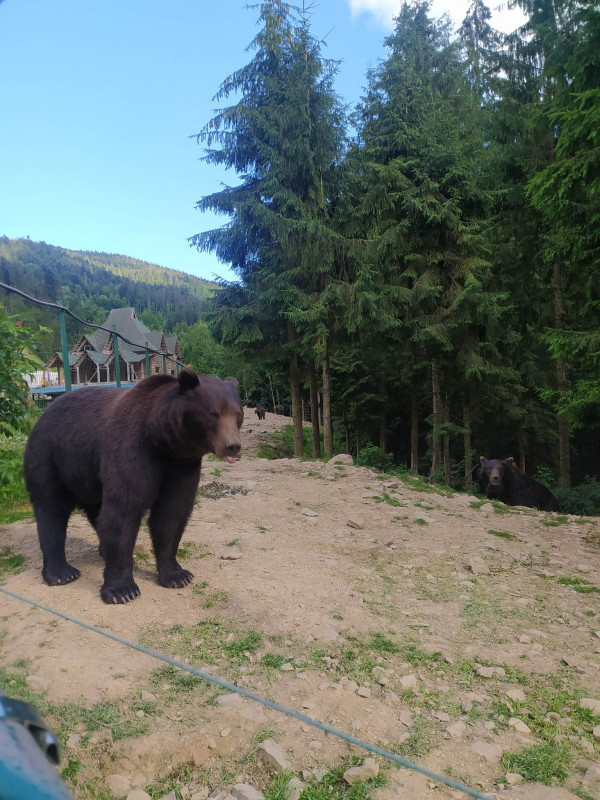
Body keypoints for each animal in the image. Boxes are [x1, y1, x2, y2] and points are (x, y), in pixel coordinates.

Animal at [23, 372, 244, 604]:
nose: (232, 446)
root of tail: (43, 414)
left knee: (95, 510)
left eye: (238, 414)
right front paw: (122, 590)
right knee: (51, 508)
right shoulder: (133, 447)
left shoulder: (182, 465)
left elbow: (172, 512)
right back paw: (62, 573)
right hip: (49, 456)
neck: (162, 441)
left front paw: (178, 575)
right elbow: (124, 509)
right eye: (214, 413)